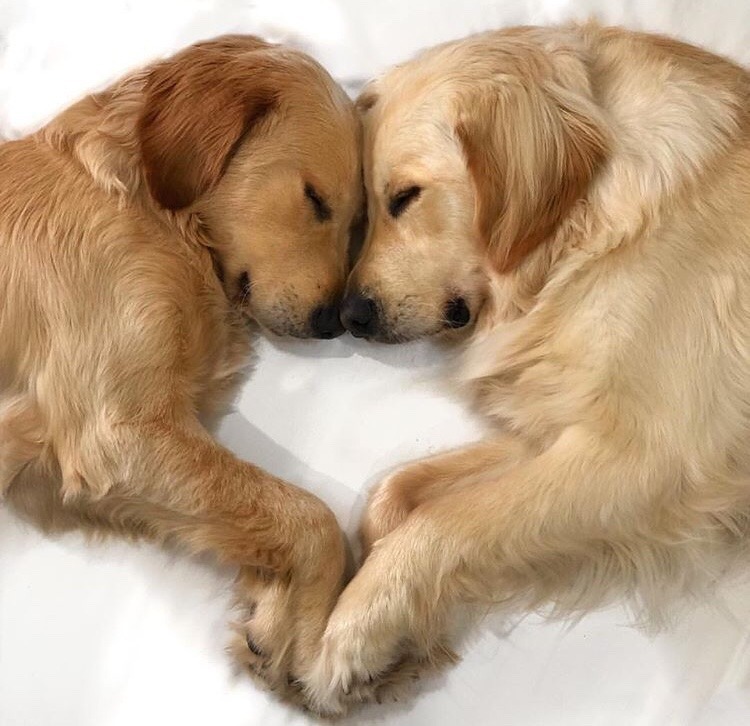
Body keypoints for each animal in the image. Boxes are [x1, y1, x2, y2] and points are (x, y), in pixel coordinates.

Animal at [0, 35, 362, 691]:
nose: (334, 323)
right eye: (316, 200)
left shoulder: (53, 476)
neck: (146, 208)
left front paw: (273, 611)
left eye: (357, 225)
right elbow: (310, 517)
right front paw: (304, 637)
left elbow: (264, 515)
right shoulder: (114, 433)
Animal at [302, 23, 750, 713]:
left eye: (405, 197)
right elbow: (393, 493)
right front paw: (405, 643)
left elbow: (443, 522)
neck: (590, 228)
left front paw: (356, 632)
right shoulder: (557, 425)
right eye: (365, 213)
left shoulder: (647, 457)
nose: (348, 315)